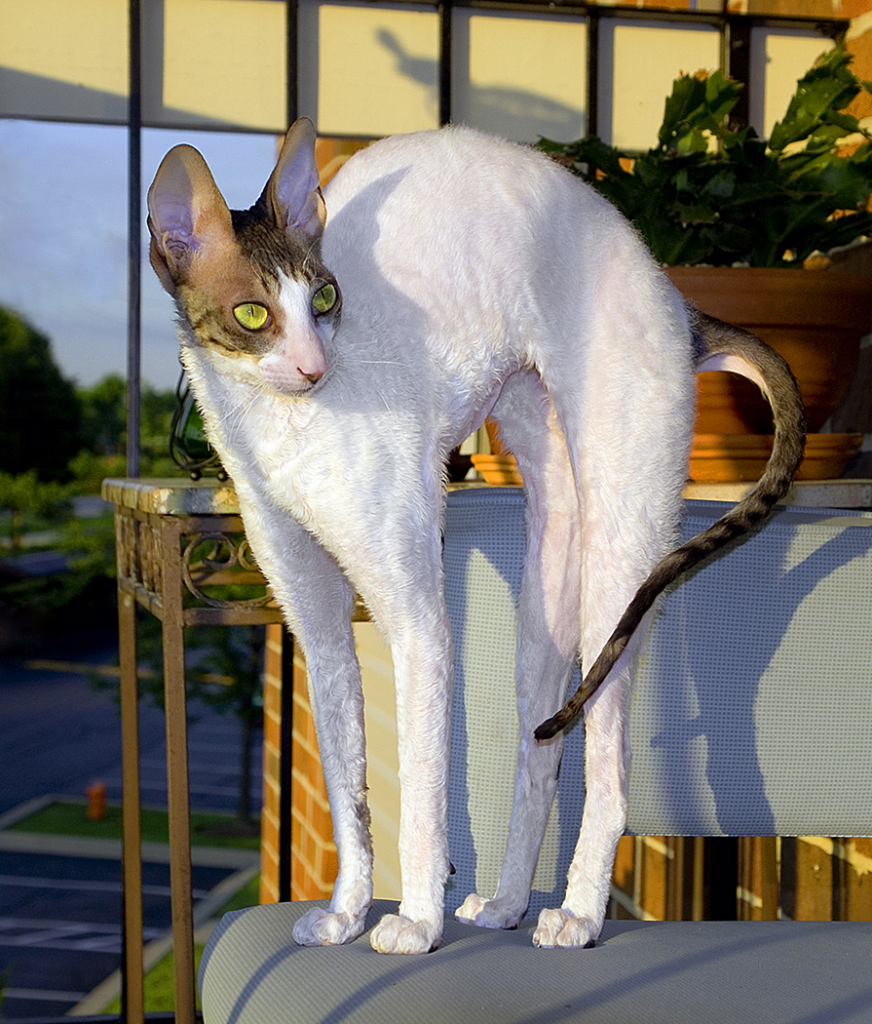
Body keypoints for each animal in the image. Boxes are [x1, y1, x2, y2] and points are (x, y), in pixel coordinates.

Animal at [148, 117, 802, 950]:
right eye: (254, 314)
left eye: (324, 297)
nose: (315, 368)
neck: (282, 428)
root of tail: (679, 303)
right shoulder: (316, 627)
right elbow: (348, 786)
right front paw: (346, 913)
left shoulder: (419, 622)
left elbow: (422, 794)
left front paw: (415, 922)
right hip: (548, 578)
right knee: (541, 756)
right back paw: (507, 904)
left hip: (619, 558)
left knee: (610, 765)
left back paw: (578, 913)